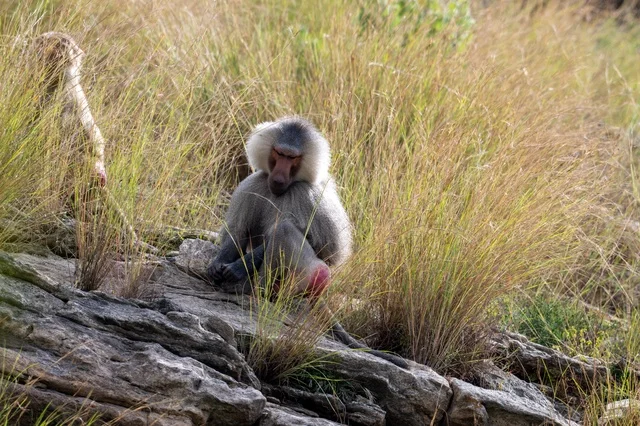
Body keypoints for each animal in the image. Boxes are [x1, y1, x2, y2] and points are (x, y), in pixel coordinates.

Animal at [208, 117, 409, 369]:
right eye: (279, 153)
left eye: (292, 158)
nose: (278, 178)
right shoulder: (253, 183)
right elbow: (237, 232)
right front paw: (218, 264)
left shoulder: (307, 194)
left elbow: (327, 247)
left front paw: (236, 269)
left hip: (308, 275)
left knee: (284, 231)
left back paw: (251, 289)